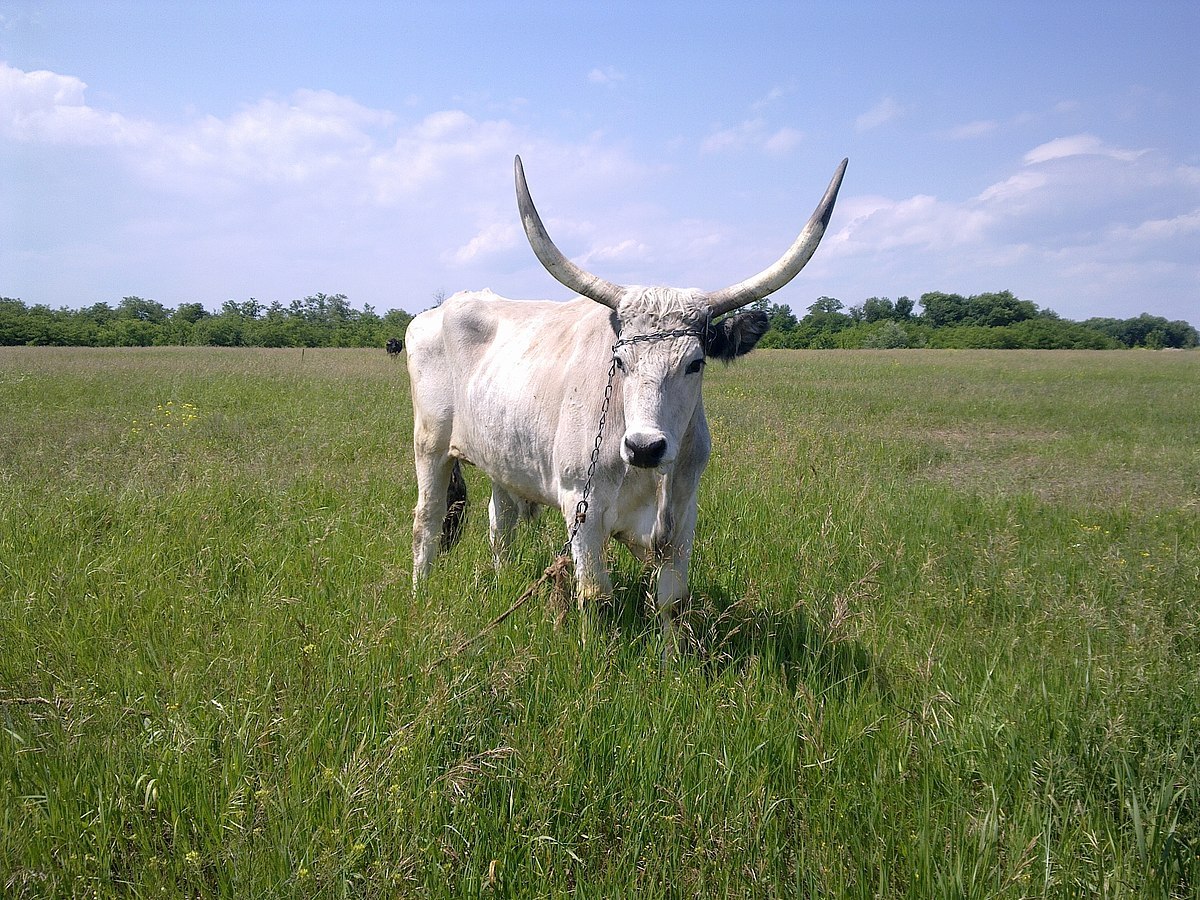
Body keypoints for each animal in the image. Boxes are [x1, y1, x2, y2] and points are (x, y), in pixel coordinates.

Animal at [408, 154, 849, 643]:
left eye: (696, 362)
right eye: (619, 361)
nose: (644, 447)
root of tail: (438, 310)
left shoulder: (683, 516)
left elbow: (674, 601)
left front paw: (671, 657)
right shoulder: (581, 508)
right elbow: (595, 596)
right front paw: (591, 652)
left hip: (503, 459)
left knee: (499, 522)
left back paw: (502, 579)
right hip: (430, 445)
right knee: (427, 520)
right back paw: (420, 592)